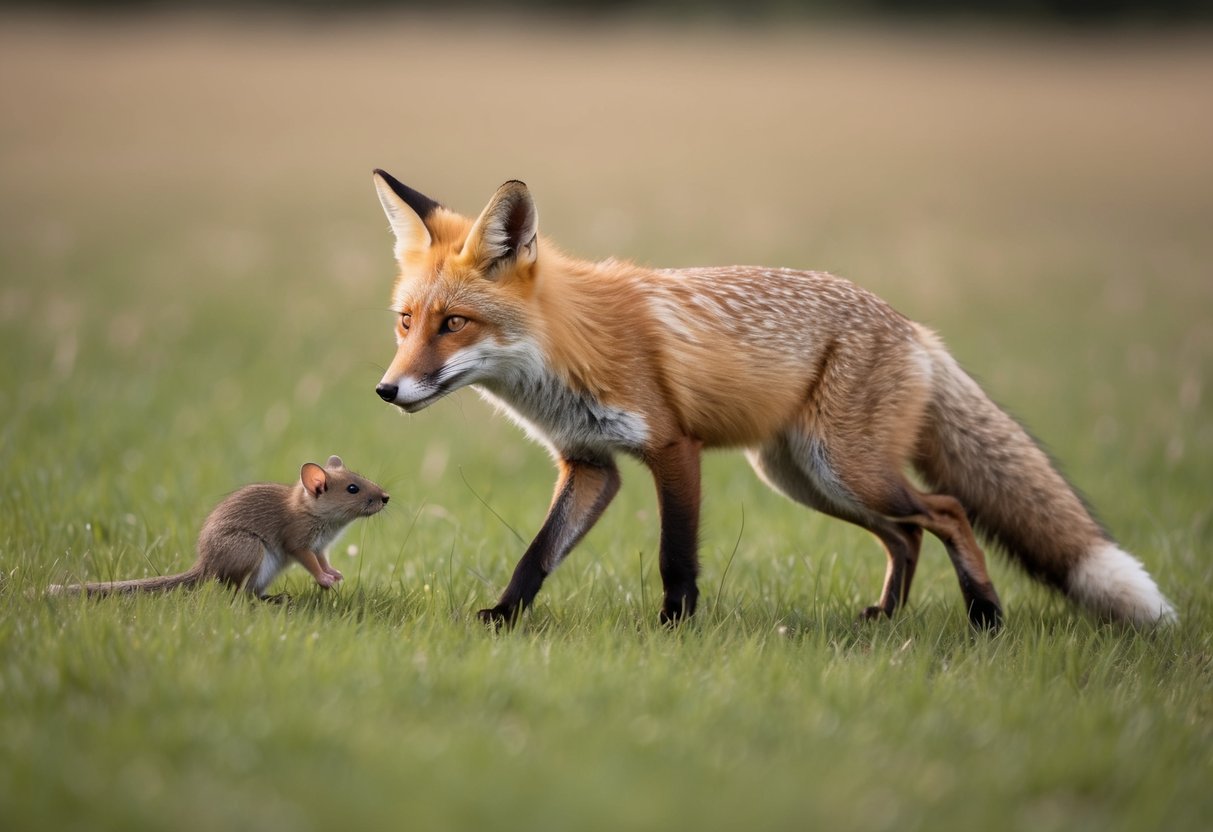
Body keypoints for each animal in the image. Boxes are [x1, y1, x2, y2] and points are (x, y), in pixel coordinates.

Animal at [370, 169, 1176, 630]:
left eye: (454, 324)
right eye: (406, 322)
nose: (386, 389)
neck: (566, 348)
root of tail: (914, 328)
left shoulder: (673, 447)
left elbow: (675, 555)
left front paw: (676, 629)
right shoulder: (591, 463)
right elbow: (537, 554)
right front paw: (503, 617)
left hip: (845, 470)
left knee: (946, 511)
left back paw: (985, 614)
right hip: (804, 477)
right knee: (906, 535)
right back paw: (887, 617)